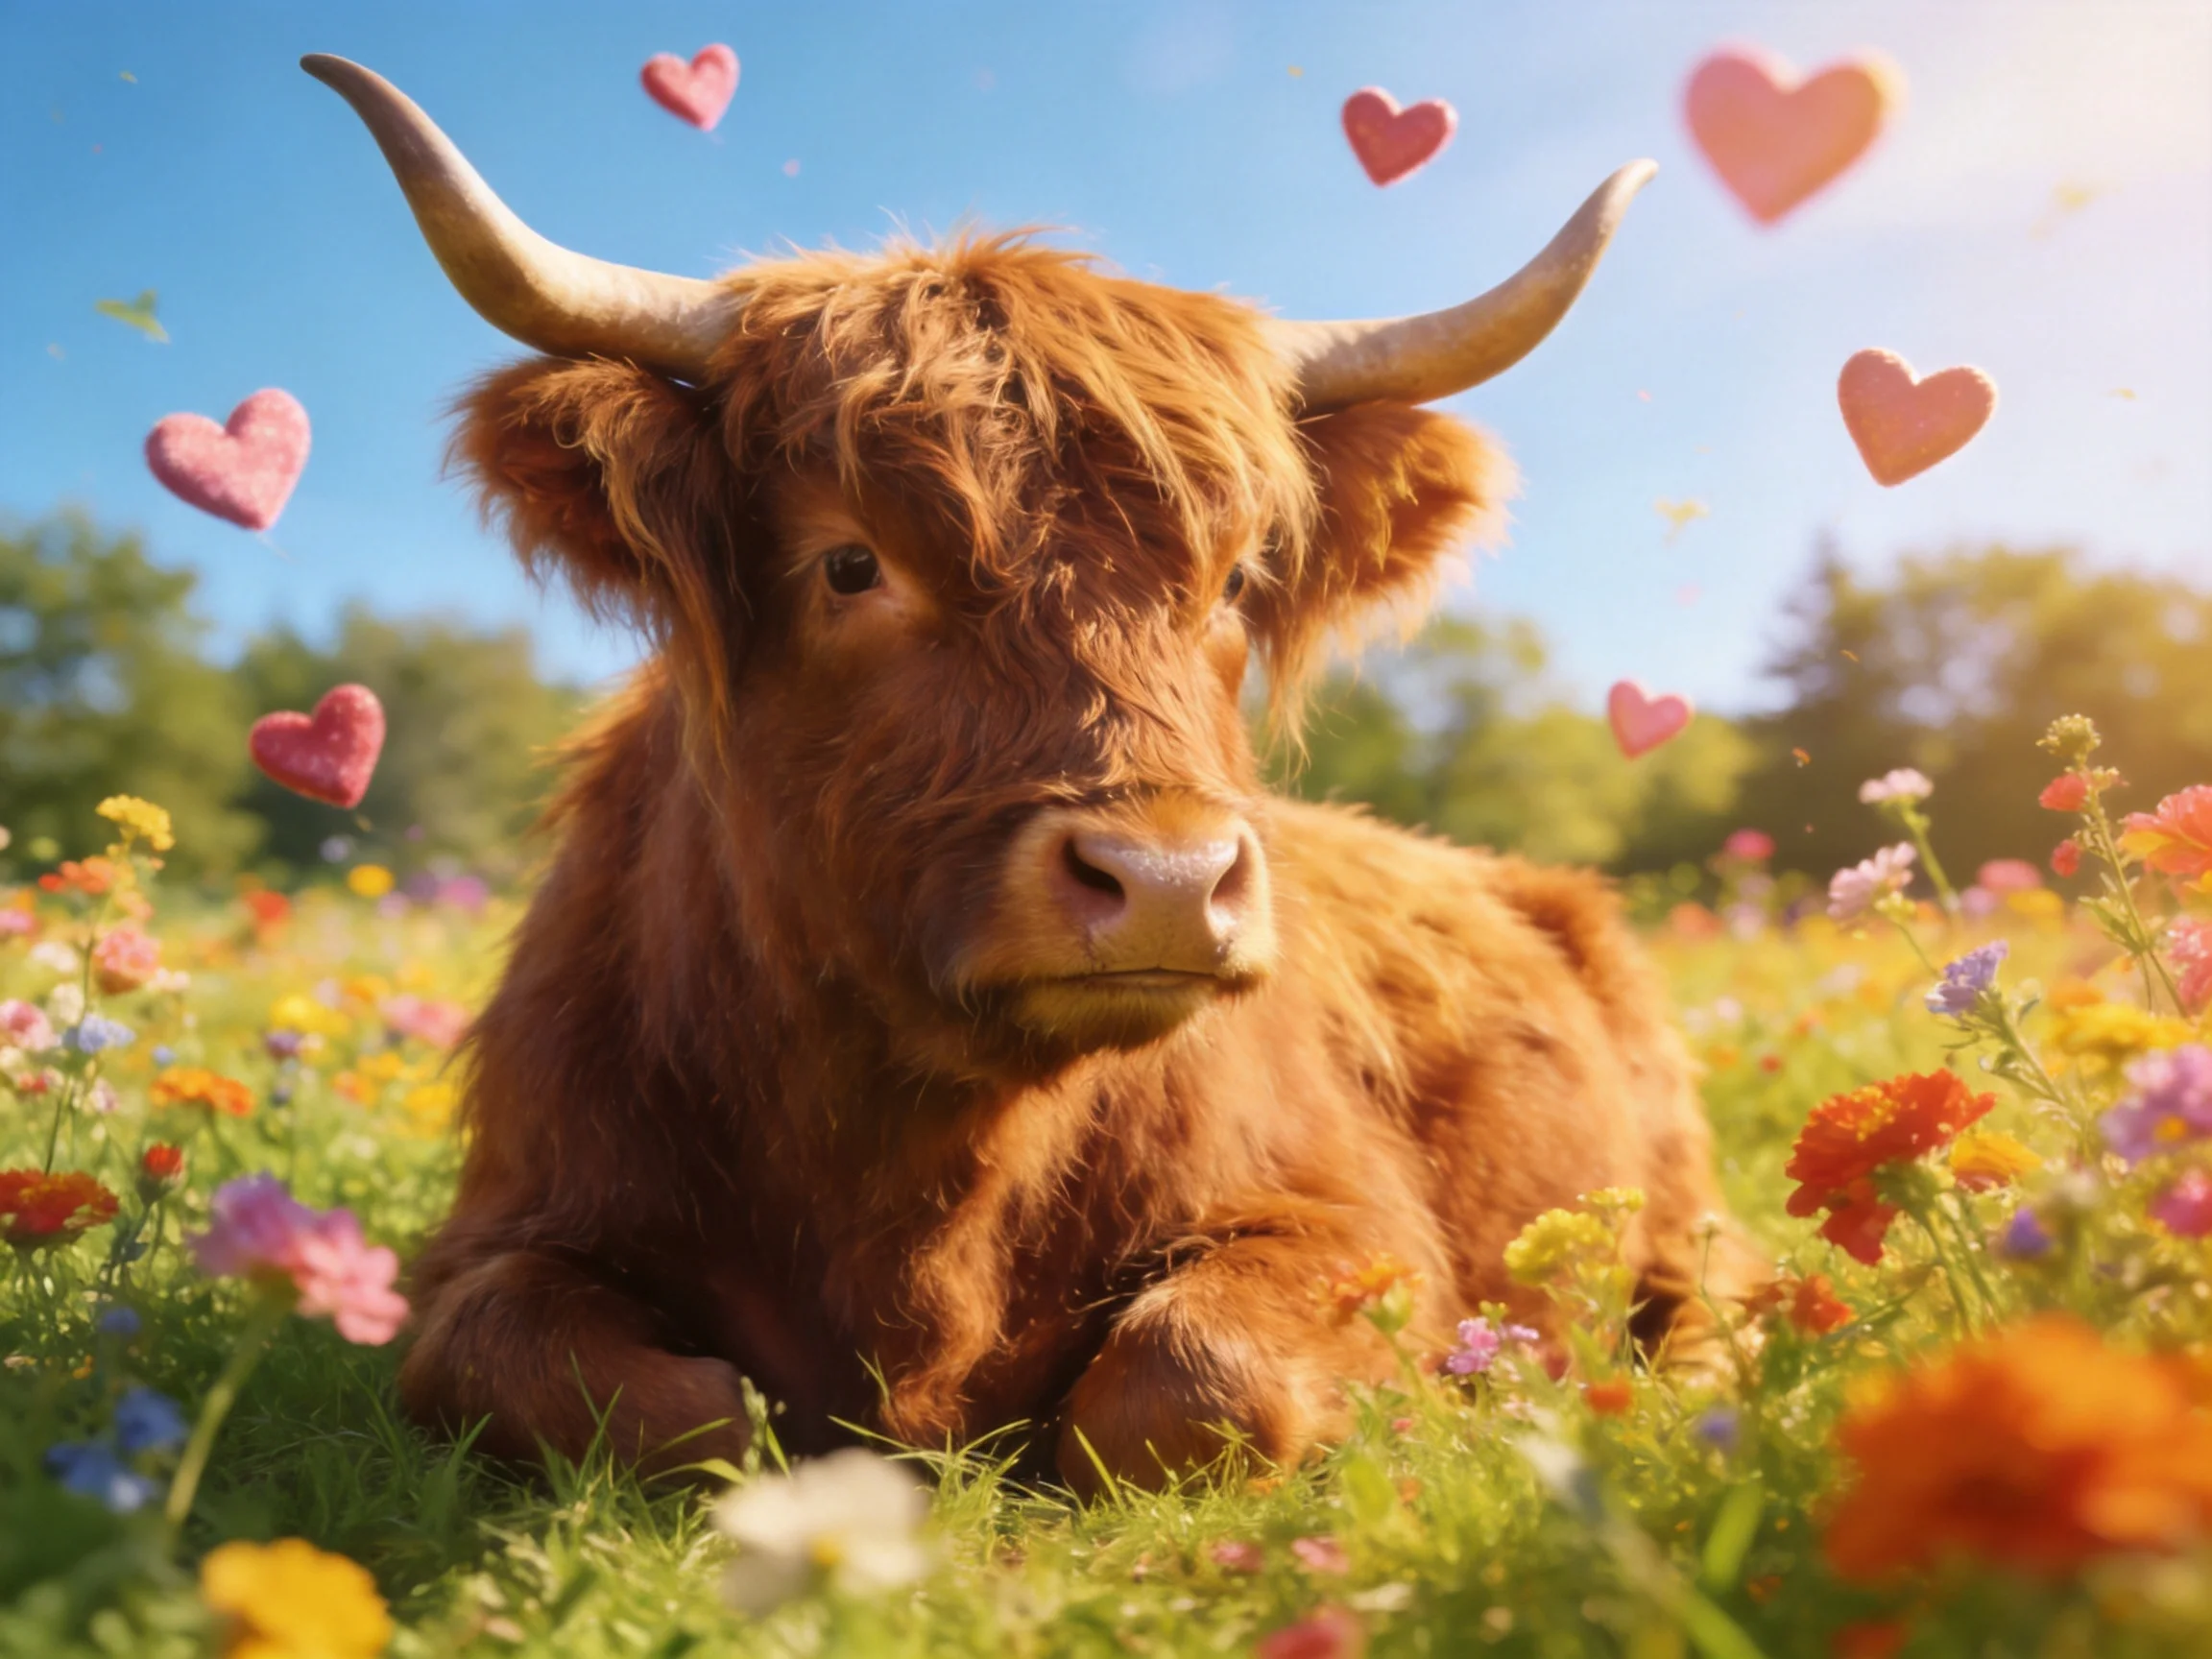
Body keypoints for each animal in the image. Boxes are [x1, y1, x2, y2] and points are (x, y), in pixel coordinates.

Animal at [306, 55, 1763, 1490]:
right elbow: (620, 1395)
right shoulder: (502, 1230)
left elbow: (1188, 1379)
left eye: (1236, 578)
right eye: (851, 563)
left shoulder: (1357, 1227)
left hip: (1677, 1187)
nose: (1169, 879)